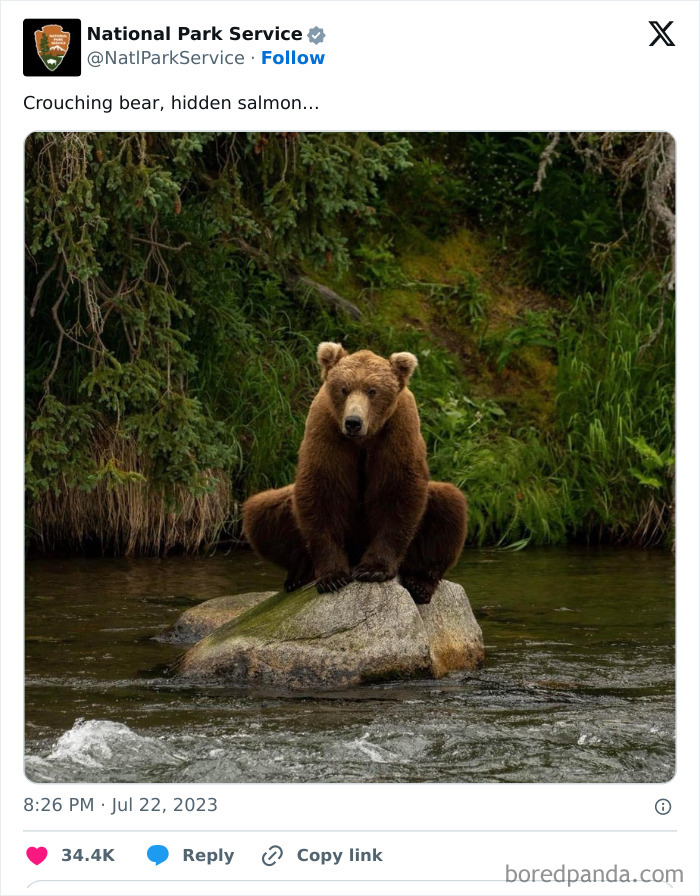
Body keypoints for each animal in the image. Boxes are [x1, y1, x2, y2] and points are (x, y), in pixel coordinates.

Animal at [242, 342, 467, 604]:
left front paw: (373, 569)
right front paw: (333, 577)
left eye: (372, 390)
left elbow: (398, 492)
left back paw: (420, 583)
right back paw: (299, 574)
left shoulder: (398, 431)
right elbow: (322, 492)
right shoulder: (327, 431)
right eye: (343, 388)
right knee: (261, 511)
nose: (353, 422)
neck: (363, 439)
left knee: (449, 505)